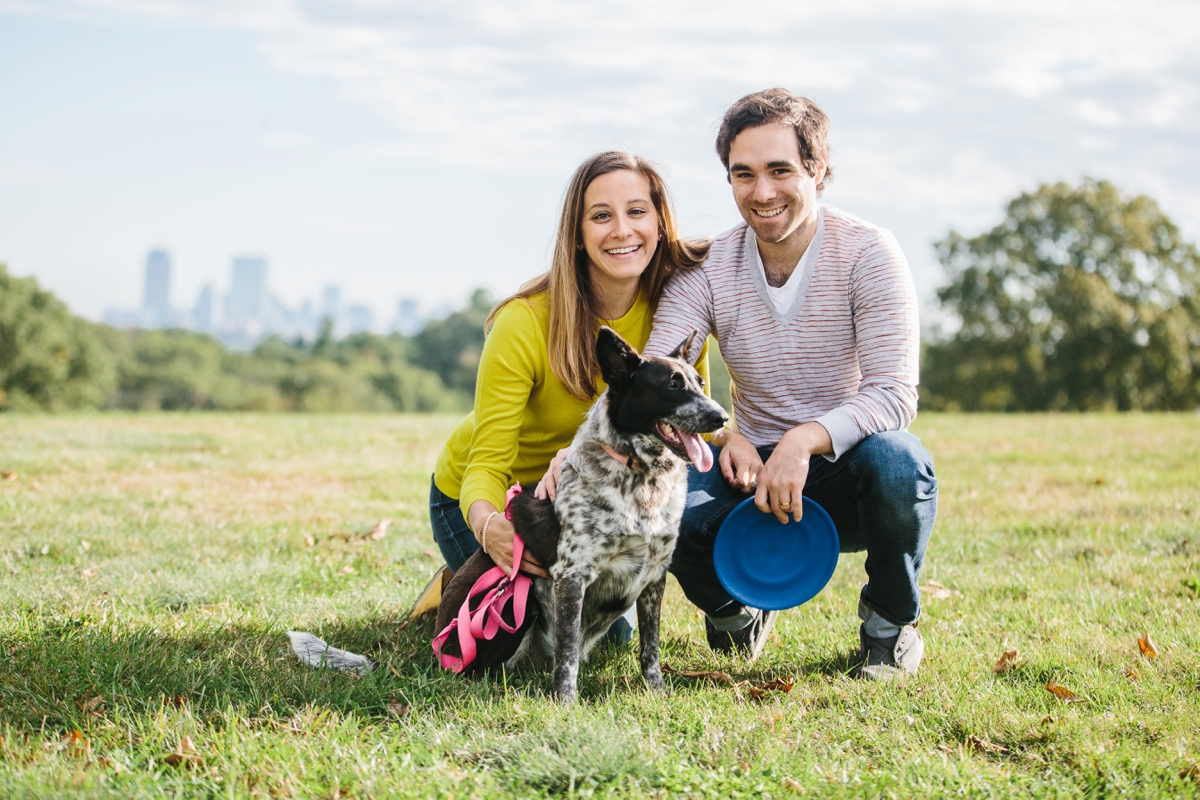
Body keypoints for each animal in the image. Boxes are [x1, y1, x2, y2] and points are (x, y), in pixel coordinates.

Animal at [436, 326, 724, 700]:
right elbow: (568, 649)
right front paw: (566, 700)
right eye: (672, 385)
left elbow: (651, 646)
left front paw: (655, 689)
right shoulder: (572, 576)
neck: (642, 477)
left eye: (700, 383)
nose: (721, 417)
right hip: (514, 603)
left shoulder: (654, 576)